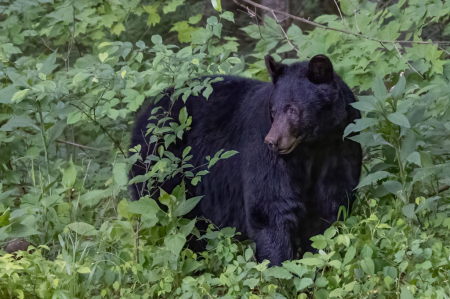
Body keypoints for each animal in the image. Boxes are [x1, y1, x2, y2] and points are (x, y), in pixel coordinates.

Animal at [129, 54, 362, 268]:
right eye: (273, 111)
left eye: (293, 109)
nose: (272, 141)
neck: (312, 145)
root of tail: (147, 110)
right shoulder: (264, 149)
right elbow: (269, 207)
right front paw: (280, 269)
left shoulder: (342, 141)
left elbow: (329, 203)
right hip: (161, 166)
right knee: (176, 219)